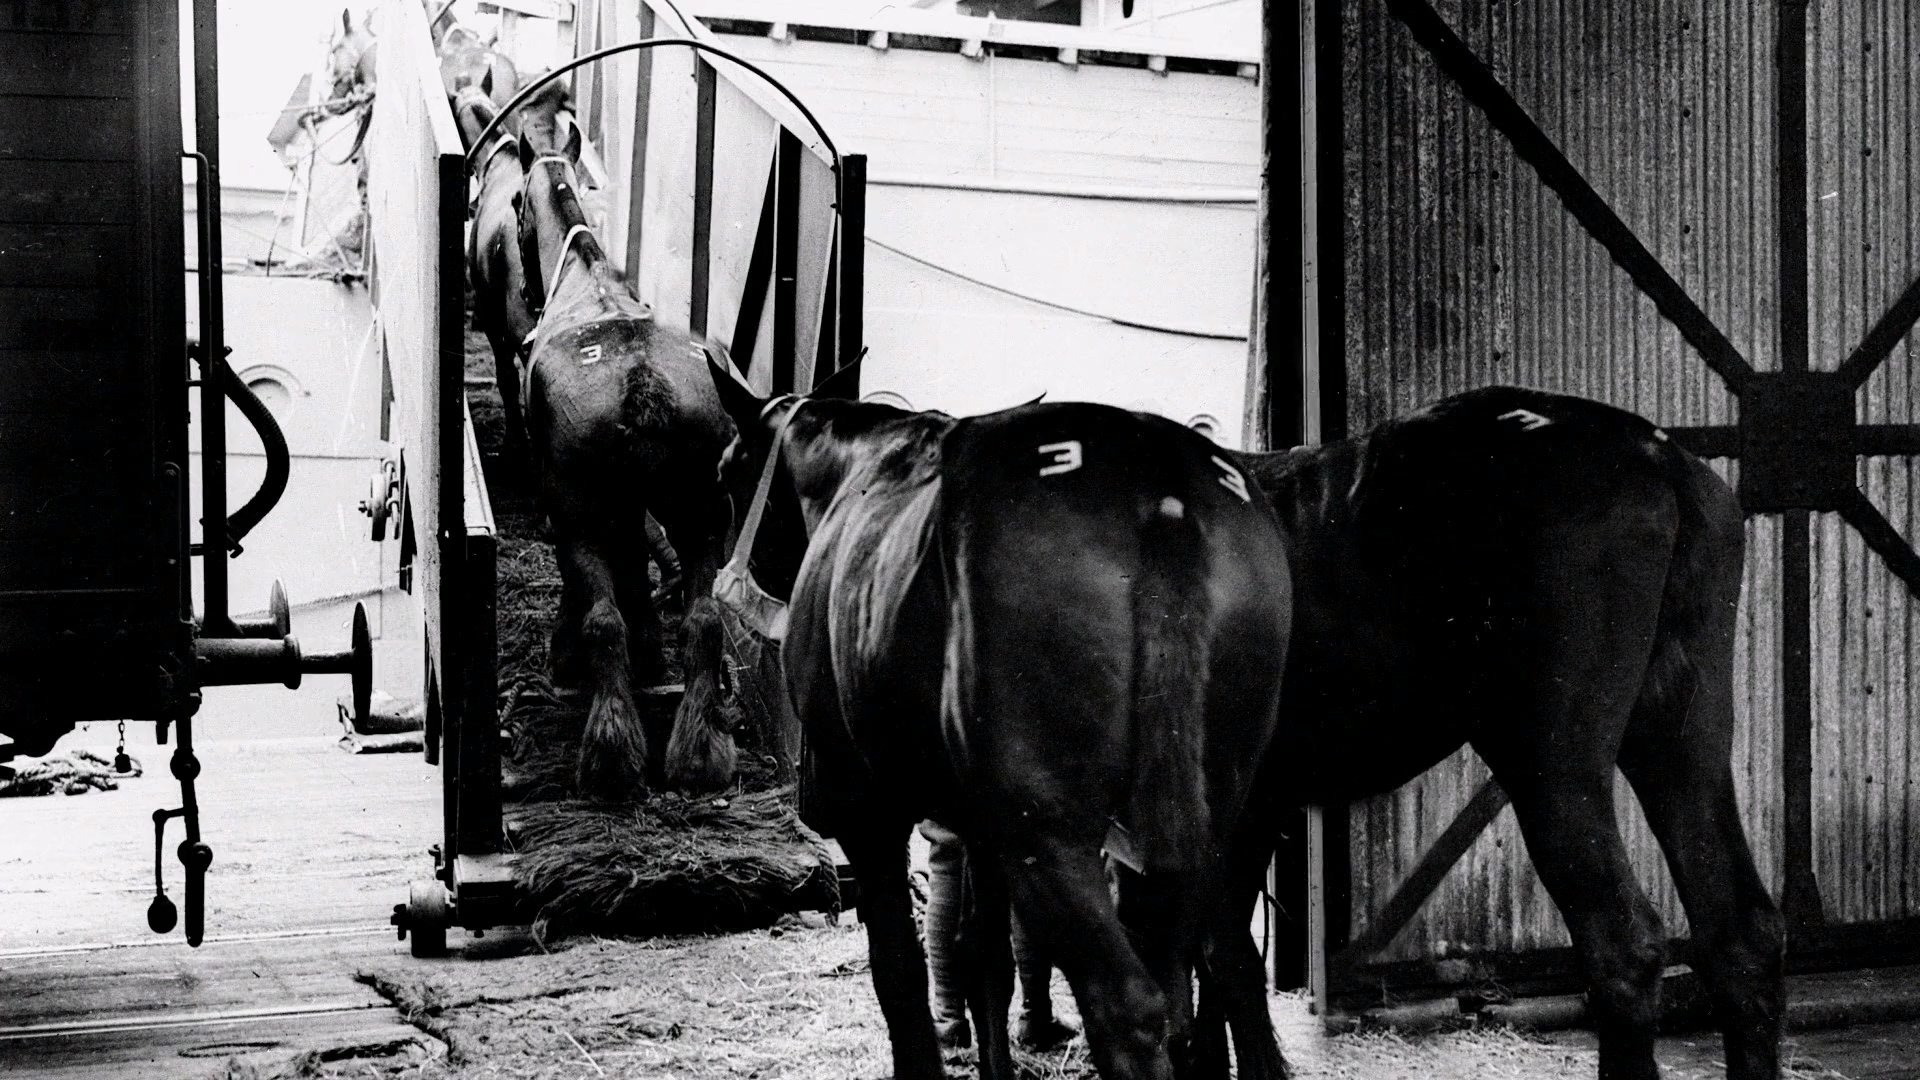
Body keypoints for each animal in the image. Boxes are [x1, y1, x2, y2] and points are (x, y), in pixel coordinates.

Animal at [515, 124, 737, 799]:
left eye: (514, 206)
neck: (586, 278)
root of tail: (642, 377)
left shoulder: (570, 503)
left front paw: (567, 657)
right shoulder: (638, 503)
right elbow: (639, 560)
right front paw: (651, 653)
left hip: (581, 509)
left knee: (602, 619)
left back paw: (610, 754)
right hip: (703, 509)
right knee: (703, 618)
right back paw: (700, 752)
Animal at [704, 363, 1293, 1080]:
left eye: (725, 473)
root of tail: (1162, 492)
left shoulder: (866, 814)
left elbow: (897, 972)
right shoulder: (979, 825)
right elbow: (985, 959)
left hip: (1050, 833)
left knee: (1128, 1006)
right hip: (1214, 814)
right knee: (1224, 968)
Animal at [1193, 386, 1782, 1080]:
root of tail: (1656, 455)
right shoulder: (1252, 807)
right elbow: (1218, 954)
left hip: (1550, 760)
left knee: (1624, 941)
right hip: (1684, 731)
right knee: (1741, 931)